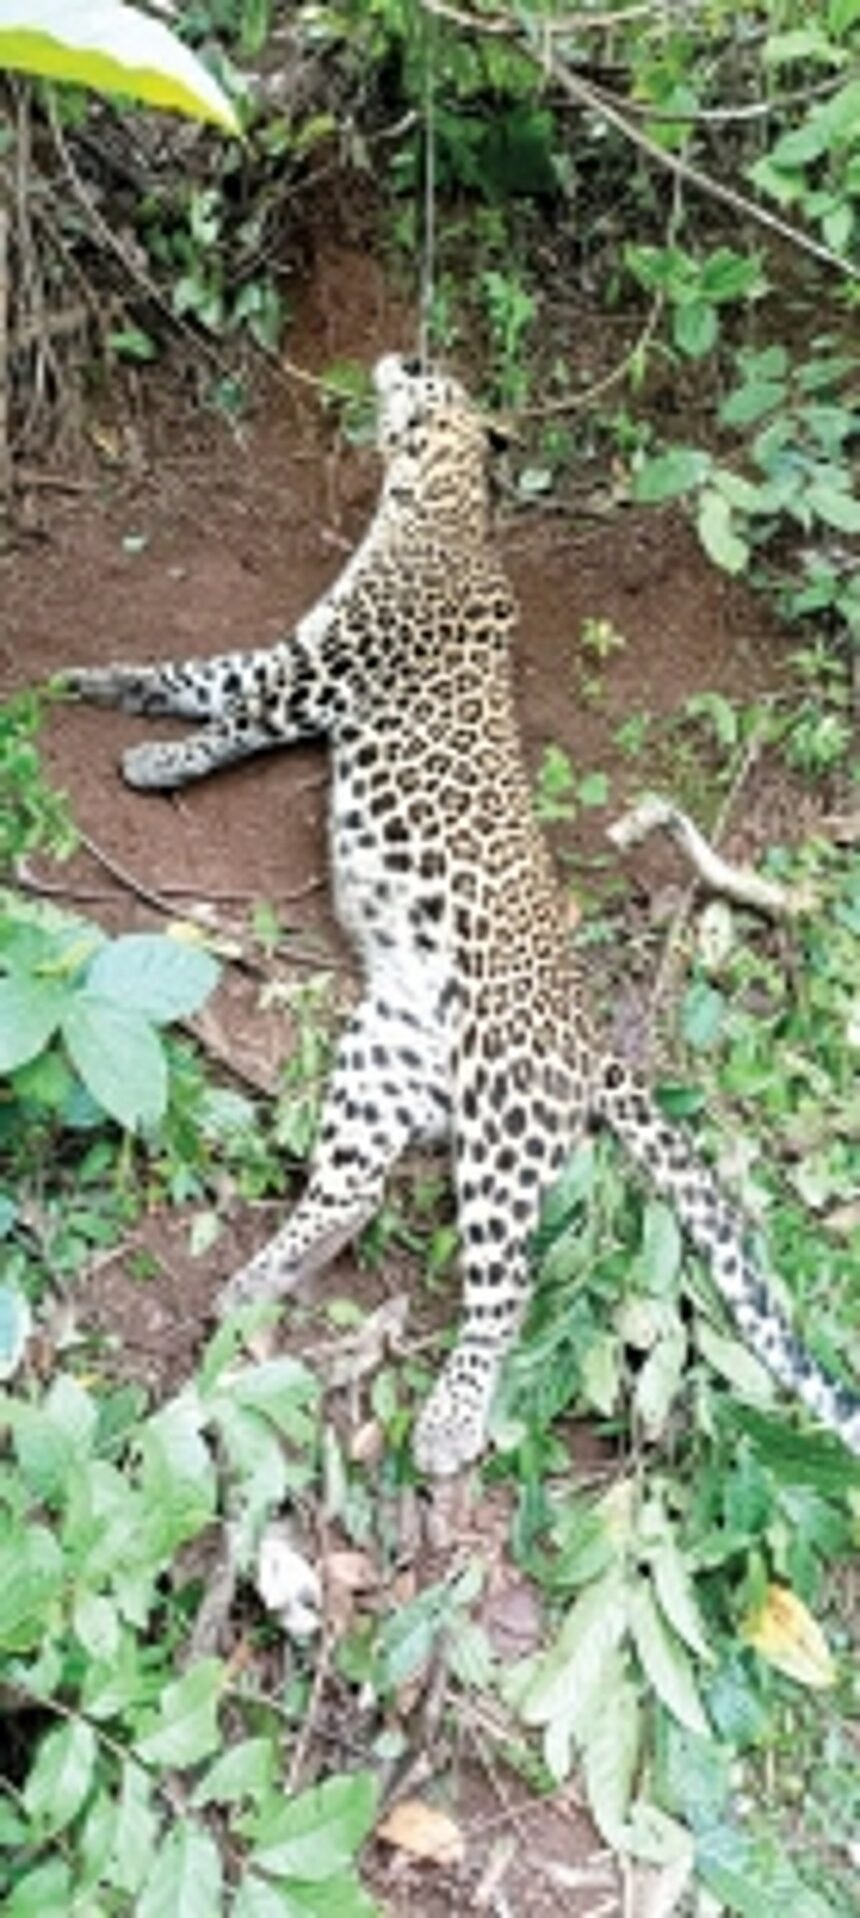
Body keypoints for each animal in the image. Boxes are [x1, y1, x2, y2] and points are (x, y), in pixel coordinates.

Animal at [65, 351, 860, 1475]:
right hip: (382, 1055)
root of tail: (590, 1044)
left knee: (506, 1280)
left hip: (504, 1108)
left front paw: (157, 760)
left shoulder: (316, 676)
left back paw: (447, 1420)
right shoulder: (286, 653)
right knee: (352, 1191)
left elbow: (230, 719)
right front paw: (101, 680)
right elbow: (190, 673)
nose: (398, 354)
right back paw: (261, 1278)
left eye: (432, 373)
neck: (426, 502)